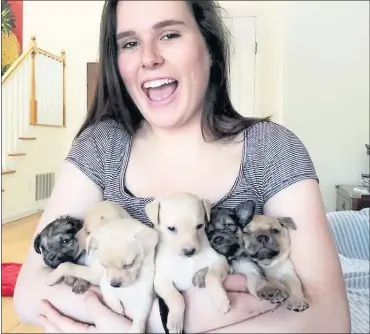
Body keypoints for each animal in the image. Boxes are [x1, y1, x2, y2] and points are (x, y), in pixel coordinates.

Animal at [145, 192, 230, 332]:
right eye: (171, 228)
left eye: (199, 226)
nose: (189, 251)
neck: (186, 260)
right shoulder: (160, 282)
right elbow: (177, 298)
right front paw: (175, 321)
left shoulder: (220, 260)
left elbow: (212, 276)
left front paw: (221, 300)